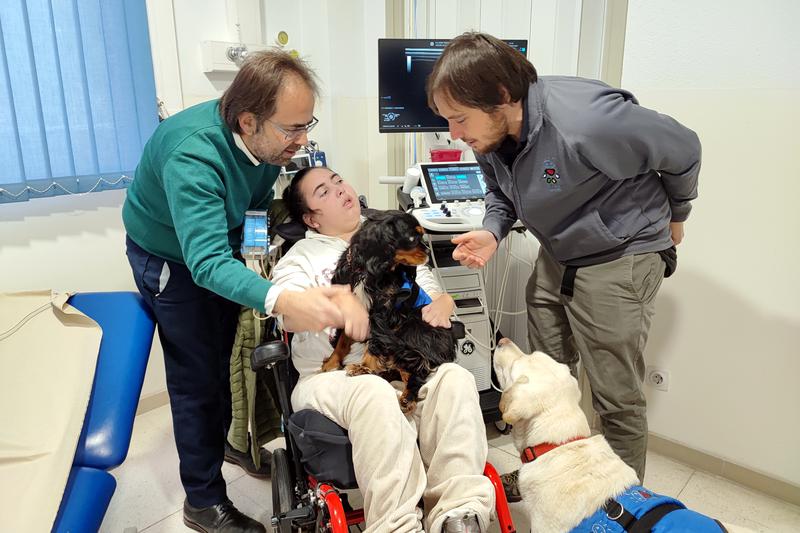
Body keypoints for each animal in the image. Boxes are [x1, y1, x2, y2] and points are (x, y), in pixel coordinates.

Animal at [318, 210, 456, 414]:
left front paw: (364, 368)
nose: (428, 252)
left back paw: (408, 398)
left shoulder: (383, 314)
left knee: (416, 368)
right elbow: (342, 341)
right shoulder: (351, 309)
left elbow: (375, 342)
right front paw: (331, 363)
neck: (367, 271)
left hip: (411, 327)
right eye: (412, 237)